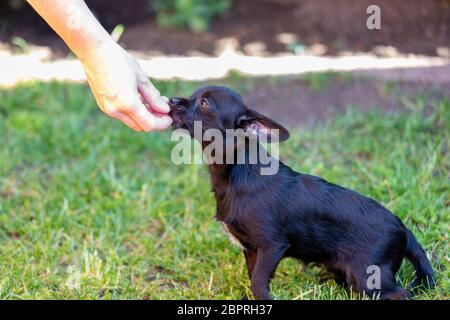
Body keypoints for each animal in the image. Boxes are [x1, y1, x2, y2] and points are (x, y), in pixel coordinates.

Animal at [168, 85, 432, 300]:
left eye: (204, 102)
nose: (171, 100)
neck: (237, 172)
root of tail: (403, 229)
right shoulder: (251, 250)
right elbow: (253, 279)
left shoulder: (272, 246)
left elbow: (259, 284)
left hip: (368, 274)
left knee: (400, 294)